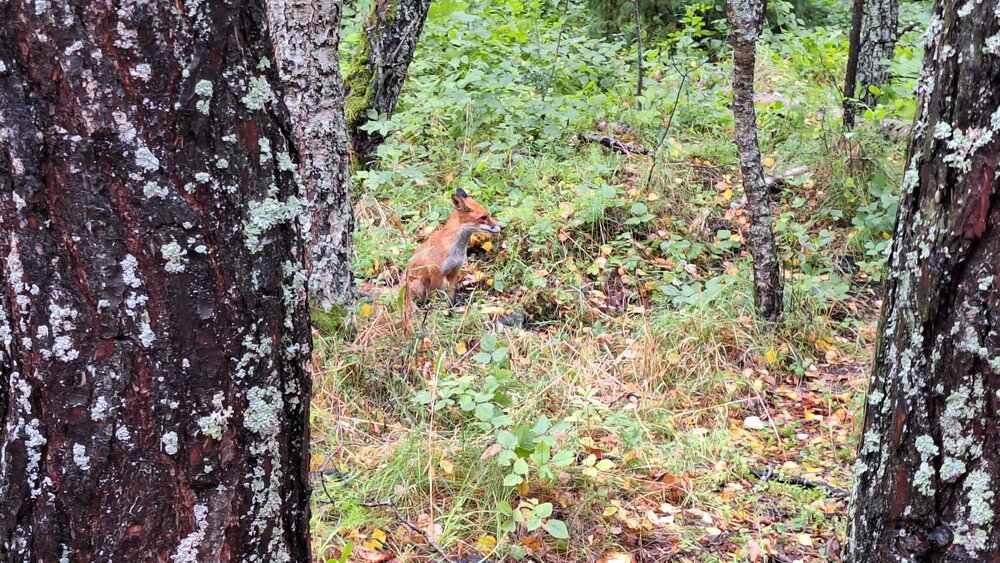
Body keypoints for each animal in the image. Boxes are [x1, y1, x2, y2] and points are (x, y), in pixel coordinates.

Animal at [401, 188, 502, 333]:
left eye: (488, 215)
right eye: (483, 217)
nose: (502, 227)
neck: (456, 250)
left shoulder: (454, 272)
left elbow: (451, 298)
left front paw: (451, 313)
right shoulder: (436, 274)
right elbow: (434, 300)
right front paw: (435, 316)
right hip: (418, 286)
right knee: (419, 302)